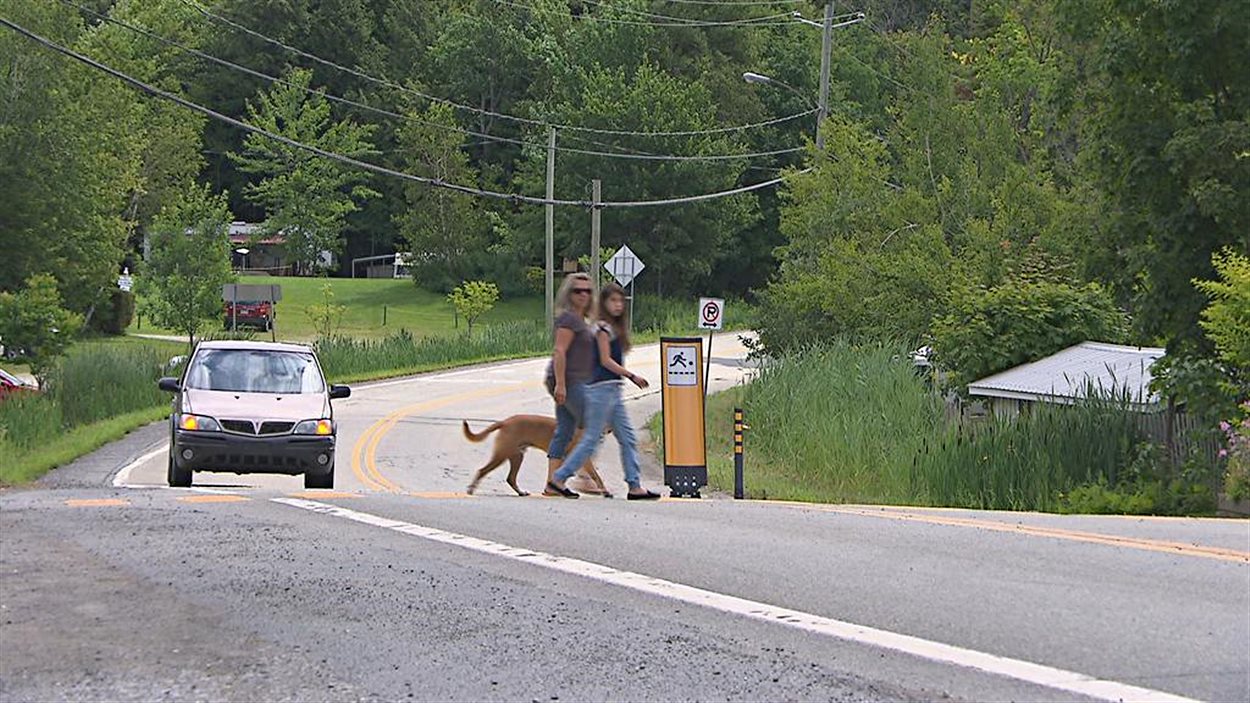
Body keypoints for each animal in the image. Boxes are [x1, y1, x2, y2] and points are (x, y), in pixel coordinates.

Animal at [465, 412, 610, 495]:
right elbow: (597, 477)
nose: (608, 431)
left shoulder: (565, 459)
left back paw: (521, 492)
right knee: (482, 471)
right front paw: (605, 491)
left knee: (511, 478)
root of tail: (504, 422)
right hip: (502, 455)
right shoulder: (585, 461)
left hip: (517, 456)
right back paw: (471, 489)